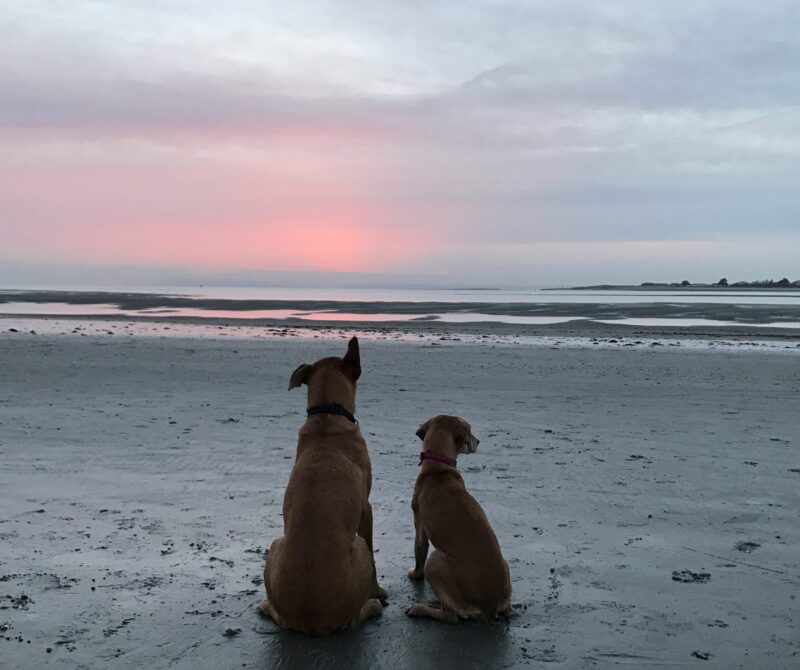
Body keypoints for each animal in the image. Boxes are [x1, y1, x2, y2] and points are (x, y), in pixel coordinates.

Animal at [260, 338, 388, 636]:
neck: (326, 415)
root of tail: (312, 622)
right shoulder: (366, 508)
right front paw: (378, 591)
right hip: (358, 547)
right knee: (355, 617)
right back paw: (373, 605)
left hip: (275, 545)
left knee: (278, 614)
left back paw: (265, 605)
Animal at [406, 414, 512, 624]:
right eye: (470, 431)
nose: (478, 441)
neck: (438, 469)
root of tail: (489, 608)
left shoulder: (419, 525)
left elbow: (418, 551)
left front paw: (415, 574)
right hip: (505, 564)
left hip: (436, 560)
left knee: (450, 616)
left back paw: (420, 608)